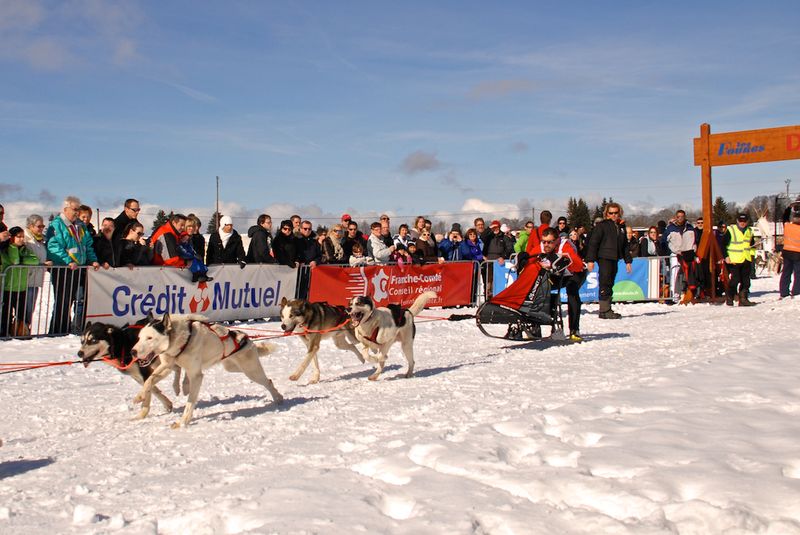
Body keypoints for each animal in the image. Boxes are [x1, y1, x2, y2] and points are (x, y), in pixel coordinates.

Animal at [130, 312, 282, 430]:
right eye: (139, 337)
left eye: (150, 338)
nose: (133, 352)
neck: (182, 340)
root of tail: (246, 339)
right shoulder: (166, 365)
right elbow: (149, 380)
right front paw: (140, 396)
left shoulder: (196, 376)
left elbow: (190, 403)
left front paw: (182, 422)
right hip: (232, 367)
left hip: (251, 371)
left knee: (268, 381)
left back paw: (278, 397)